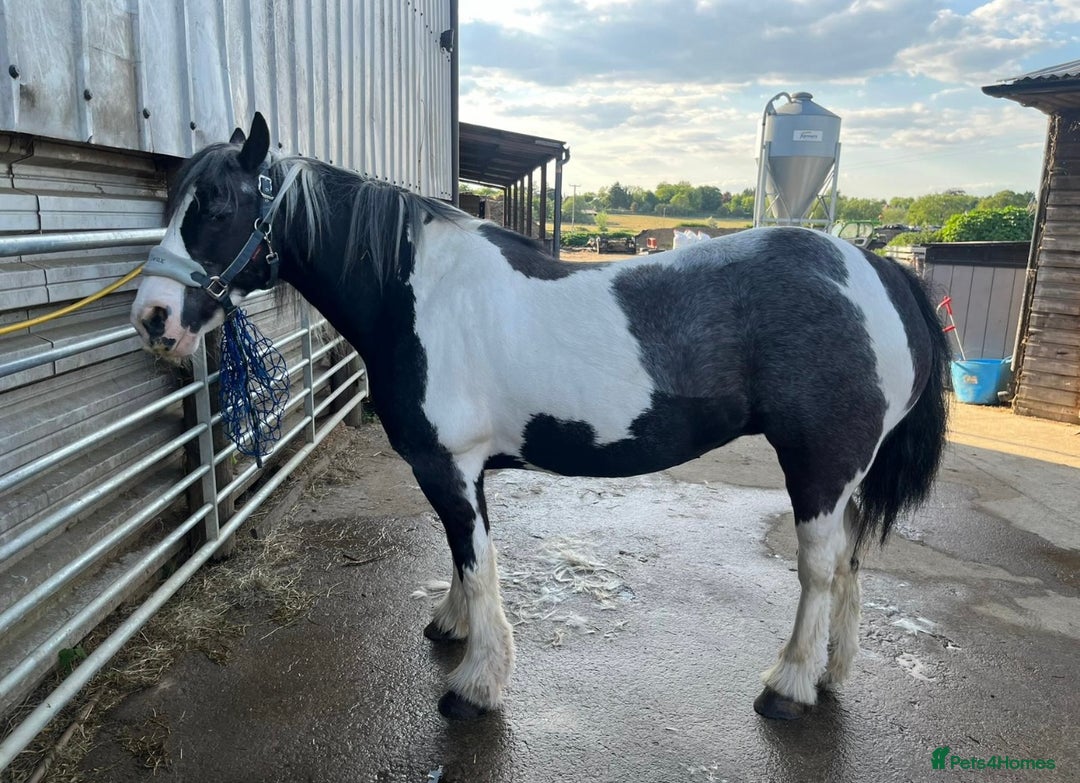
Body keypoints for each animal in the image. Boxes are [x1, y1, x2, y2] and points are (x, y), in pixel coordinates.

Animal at [130, 113, 949, 722]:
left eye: (219, 205)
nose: (153, 318)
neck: (417, 293)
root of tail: (878, 270)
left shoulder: (447, 467)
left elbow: (476, 561)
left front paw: (475, 685)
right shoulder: (461, 471)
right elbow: (464, 558)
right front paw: (453, 628)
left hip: (819, 466)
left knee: (818, 568)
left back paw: (789, 685)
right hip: (841, 476)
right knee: (849, 563)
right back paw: (832, 672)